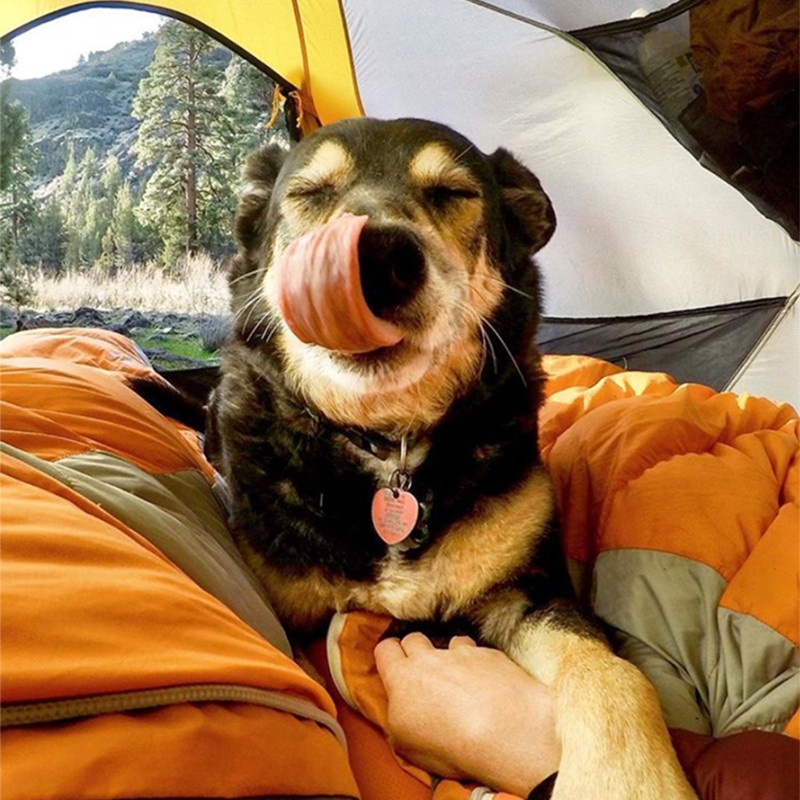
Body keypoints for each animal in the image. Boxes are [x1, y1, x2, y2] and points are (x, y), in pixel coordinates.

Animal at [194, 119, 692, 800]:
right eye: (310, 193)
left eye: (454, 192)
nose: (376, 258)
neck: (390, 446)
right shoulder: (296, 613)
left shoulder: (525, 590)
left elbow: (612, 671)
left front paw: (630, 781)